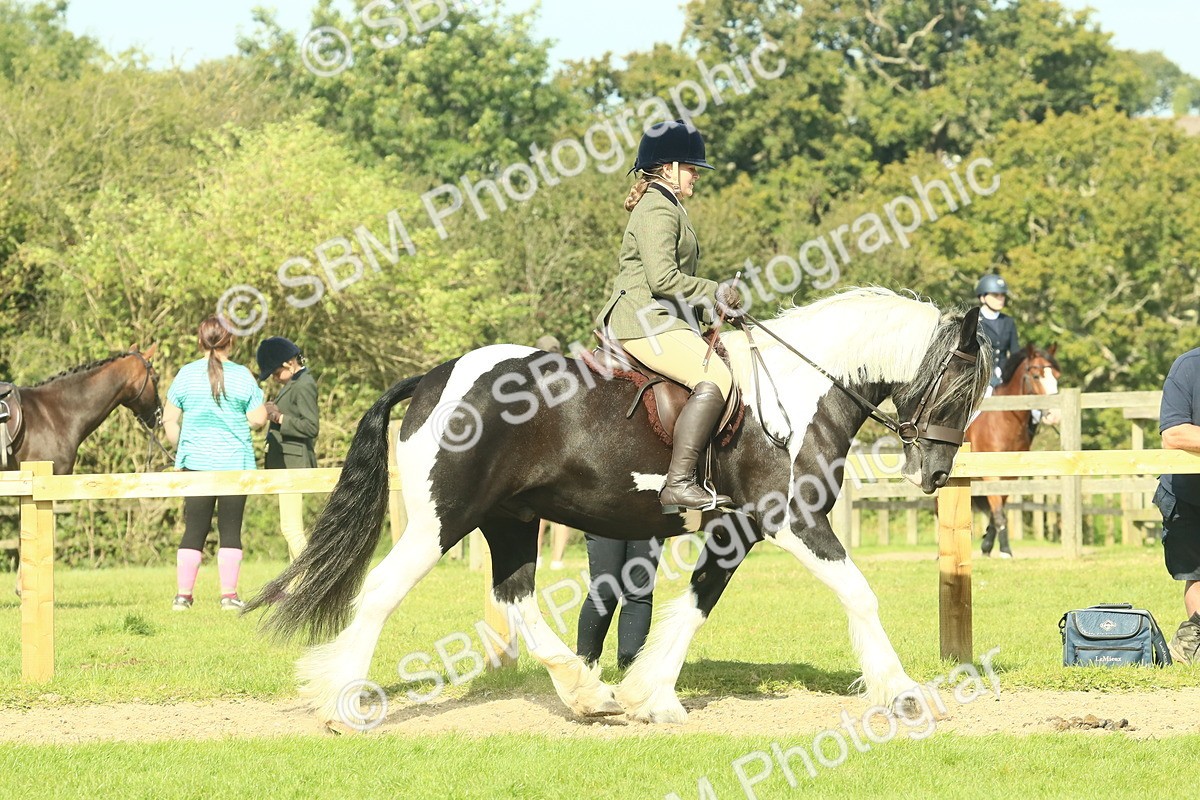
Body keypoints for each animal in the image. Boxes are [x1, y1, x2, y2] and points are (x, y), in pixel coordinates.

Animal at [248, 289, 992, 727]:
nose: (933, 472)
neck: (798, 389)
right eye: (962, 385)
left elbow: (695, 606)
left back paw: (589, 694)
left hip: (510, 519)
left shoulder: (736, 529)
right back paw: (344, 702)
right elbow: (859, 594)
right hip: (442, 521)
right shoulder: (793, 520)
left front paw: (647, 694)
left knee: (516, 597)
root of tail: (435, 378)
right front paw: (903, 693)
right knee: (380, 590)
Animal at [965, 345, 1061, 557]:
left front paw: (988, 545)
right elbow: (998, 512)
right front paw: (1005, 550)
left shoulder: (1010, 476)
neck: (1006, 418)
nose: (1054, 415)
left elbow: (998, 510)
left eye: (1057, 376)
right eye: (1036, 376)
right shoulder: (990, 474)